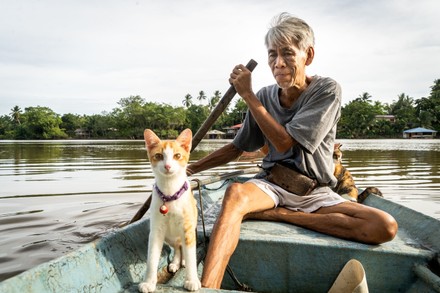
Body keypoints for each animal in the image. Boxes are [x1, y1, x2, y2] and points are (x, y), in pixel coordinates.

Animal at [138, 128, 200, 292]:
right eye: (159, 156)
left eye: (177, 155)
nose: (167, 166)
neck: (170, 194)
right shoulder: (156, 231)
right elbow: (152, 257)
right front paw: (149, 282)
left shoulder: (188, 229)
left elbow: (191, 256)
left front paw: (192, 280)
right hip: (169, 237)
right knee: (178, 247)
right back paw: (176, 262)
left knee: (183, 247)